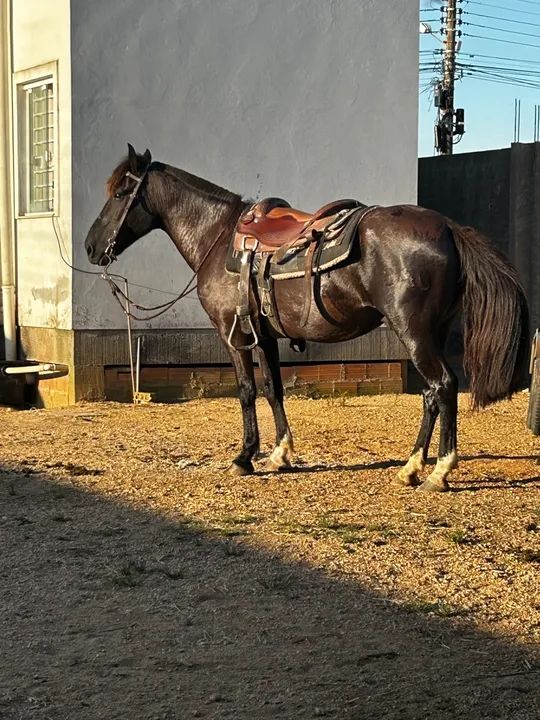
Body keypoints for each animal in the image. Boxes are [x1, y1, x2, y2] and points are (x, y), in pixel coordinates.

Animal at [84, 144, 530, 492]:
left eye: (122, 192)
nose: (90, 246)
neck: (219, 237)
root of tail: (449, 229)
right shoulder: (264, 336)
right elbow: (273, 389)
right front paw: (280, 454)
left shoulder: (233, 335)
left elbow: (246, 391)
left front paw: (245, 456)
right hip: (430, 333)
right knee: (431, 394)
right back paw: (411, 467)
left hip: (414, 333)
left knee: (444, 386)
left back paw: (439, 472)